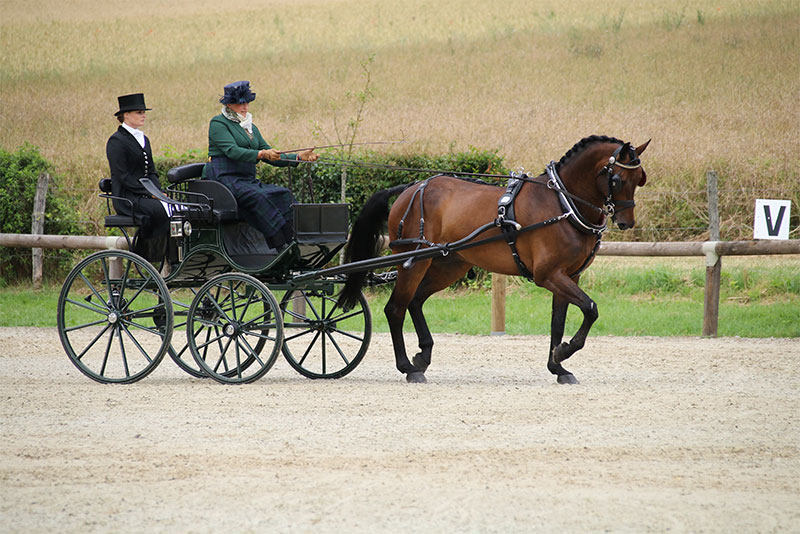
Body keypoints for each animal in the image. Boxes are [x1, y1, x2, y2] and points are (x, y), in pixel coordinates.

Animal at [340, 134, 648, 386]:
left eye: (640, 179)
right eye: (618, 179)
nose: (626, 222)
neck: (562, 204)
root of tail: (411, 187)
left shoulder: (569, 276)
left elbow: (558, 322)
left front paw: (558, 367)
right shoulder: (549, 275)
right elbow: (591, 308)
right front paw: (563, 353)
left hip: (447, 265)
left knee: (415, 302)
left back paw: (423, 356)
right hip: (414, 261)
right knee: (395, 309)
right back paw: (407, 366)